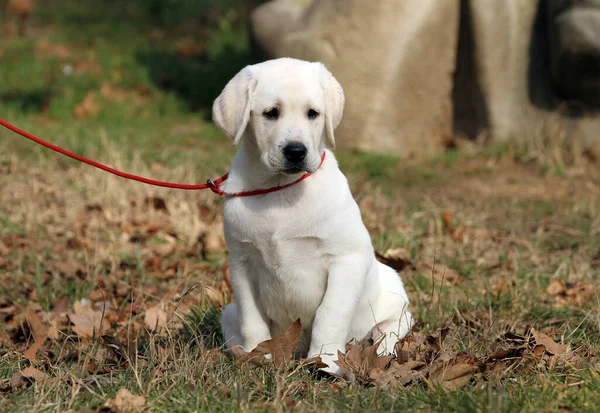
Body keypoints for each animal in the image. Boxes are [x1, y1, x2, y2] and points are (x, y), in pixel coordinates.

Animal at [214, 57, 412, 370]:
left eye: (313, 113)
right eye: (271, 113)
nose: (296, 151)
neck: (280, 189)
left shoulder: (346, 260)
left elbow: (330, 314)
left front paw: (325, 361)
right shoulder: (242, 263)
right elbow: (252, 319)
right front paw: (259, 358)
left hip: (396, 301)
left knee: (387, 334)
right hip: (228, 312)